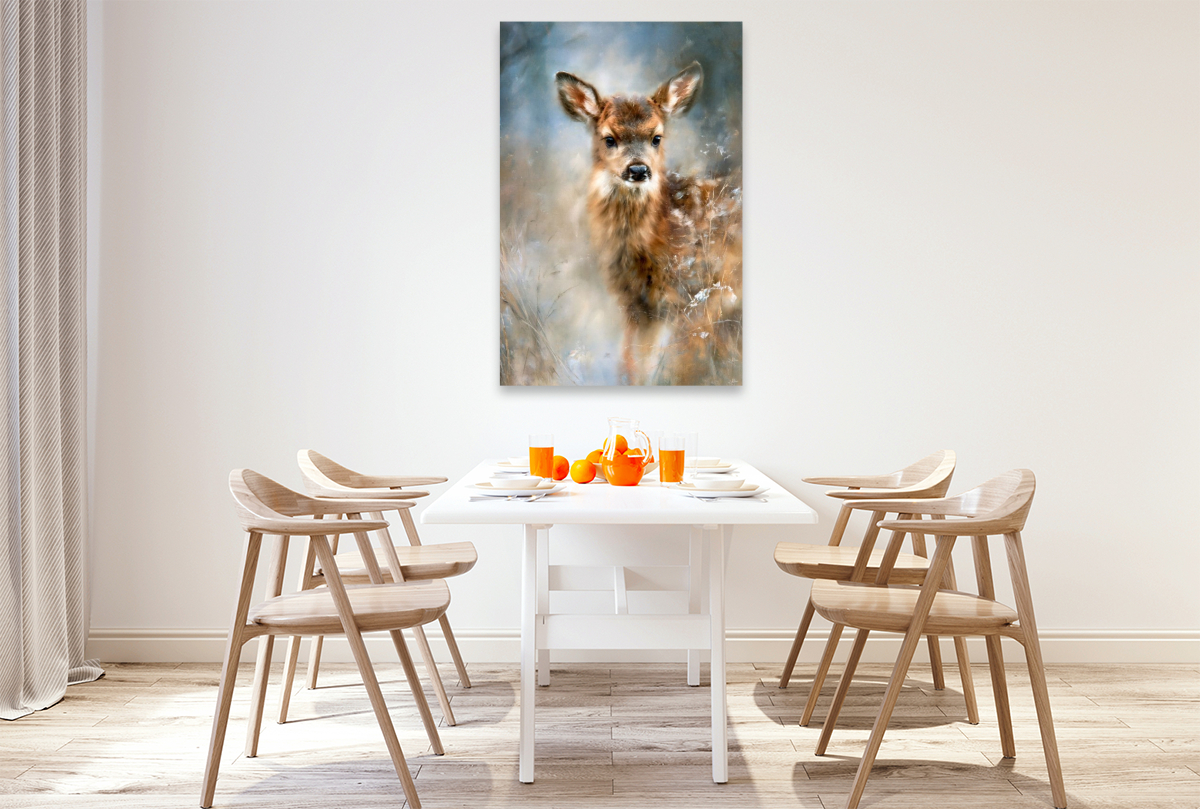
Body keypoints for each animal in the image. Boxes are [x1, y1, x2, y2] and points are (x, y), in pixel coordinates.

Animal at [556, 61, 742, 385]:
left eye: (656, 137)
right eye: (609, 138)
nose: (639, 169)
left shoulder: (696, 295)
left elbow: (684, 364)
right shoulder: (637, 306)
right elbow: (634, 362)